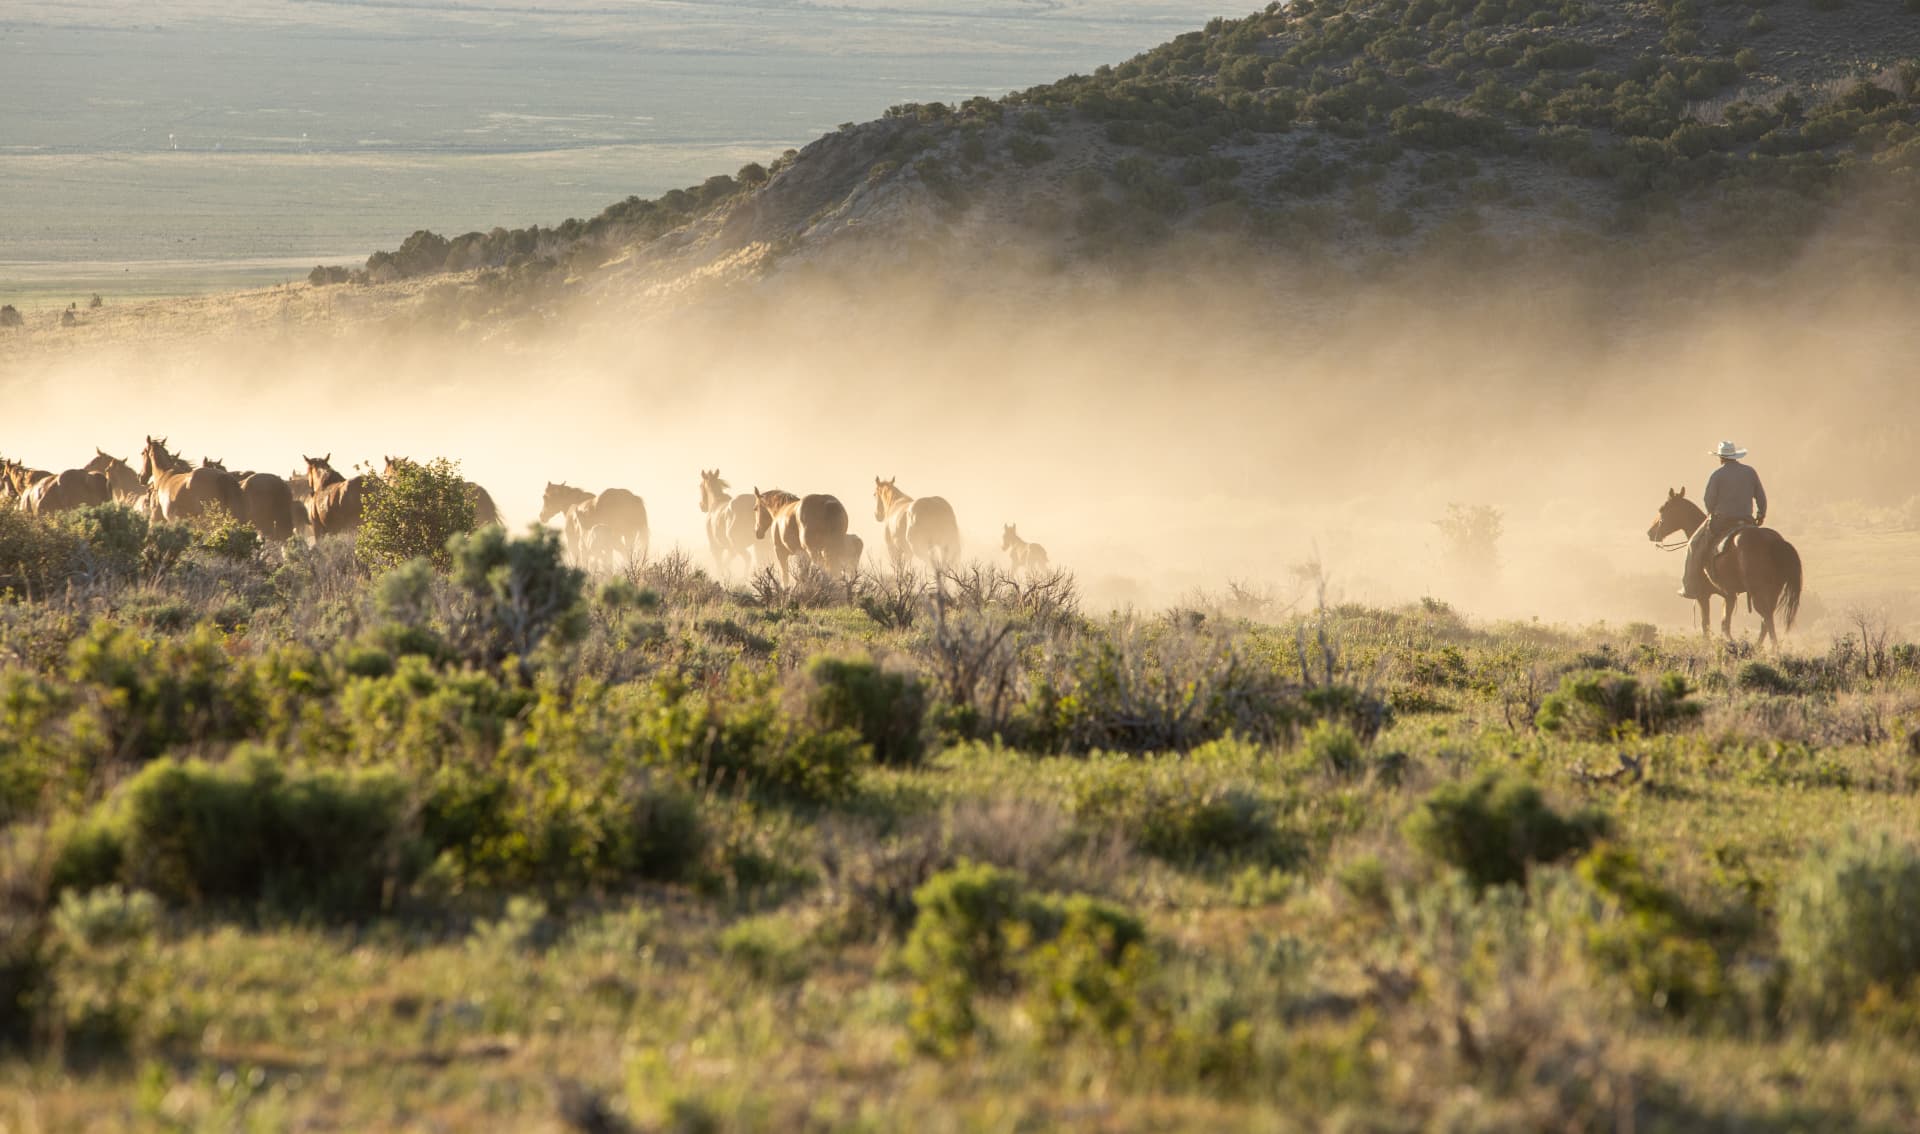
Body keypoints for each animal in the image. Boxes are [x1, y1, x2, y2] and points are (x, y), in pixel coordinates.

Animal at [1647, 488, 1803, 647]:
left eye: (1663, 509)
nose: (1650, 533)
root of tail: (1774, 541)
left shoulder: (1703, 595)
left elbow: (1706, 624)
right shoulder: (1729, 595)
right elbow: (1725, 623)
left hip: (1759, 591)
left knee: (1766, 617)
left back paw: (1772, 649)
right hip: (1773, 591)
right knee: (1765, 620)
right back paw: (1758, 648)